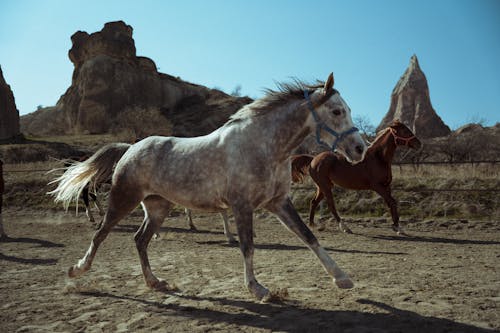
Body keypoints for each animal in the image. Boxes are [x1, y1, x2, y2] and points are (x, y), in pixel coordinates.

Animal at [48, 72, 366, 298]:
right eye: (337, 111)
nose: (359, 149)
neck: (263, 146)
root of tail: (131, 148)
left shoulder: (278, 203)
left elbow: (308, 237)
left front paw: (342, 278)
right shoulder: (242, 206)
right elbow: (247, 246)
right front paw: (258, 289)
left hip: (158, 207)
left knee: (140, 240)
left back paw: (155, 282)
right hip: (123, 199)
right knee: (101, 233)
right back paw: (77, 270)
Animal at [292, 119, 422, 233]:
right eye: (404, 131)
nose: (419, 144)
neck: (379, 158)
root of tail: (314, 159)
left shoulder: (386, 186)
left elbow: (391, 203)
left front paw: (396, 226)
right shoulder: (377, 186)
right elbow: (392, 202)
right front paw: (398, 228)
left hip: (322, 187)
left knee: (313, 202)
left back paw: (312, 225)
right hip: (325, 187)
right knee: (331, 205)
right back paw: (345, 227)